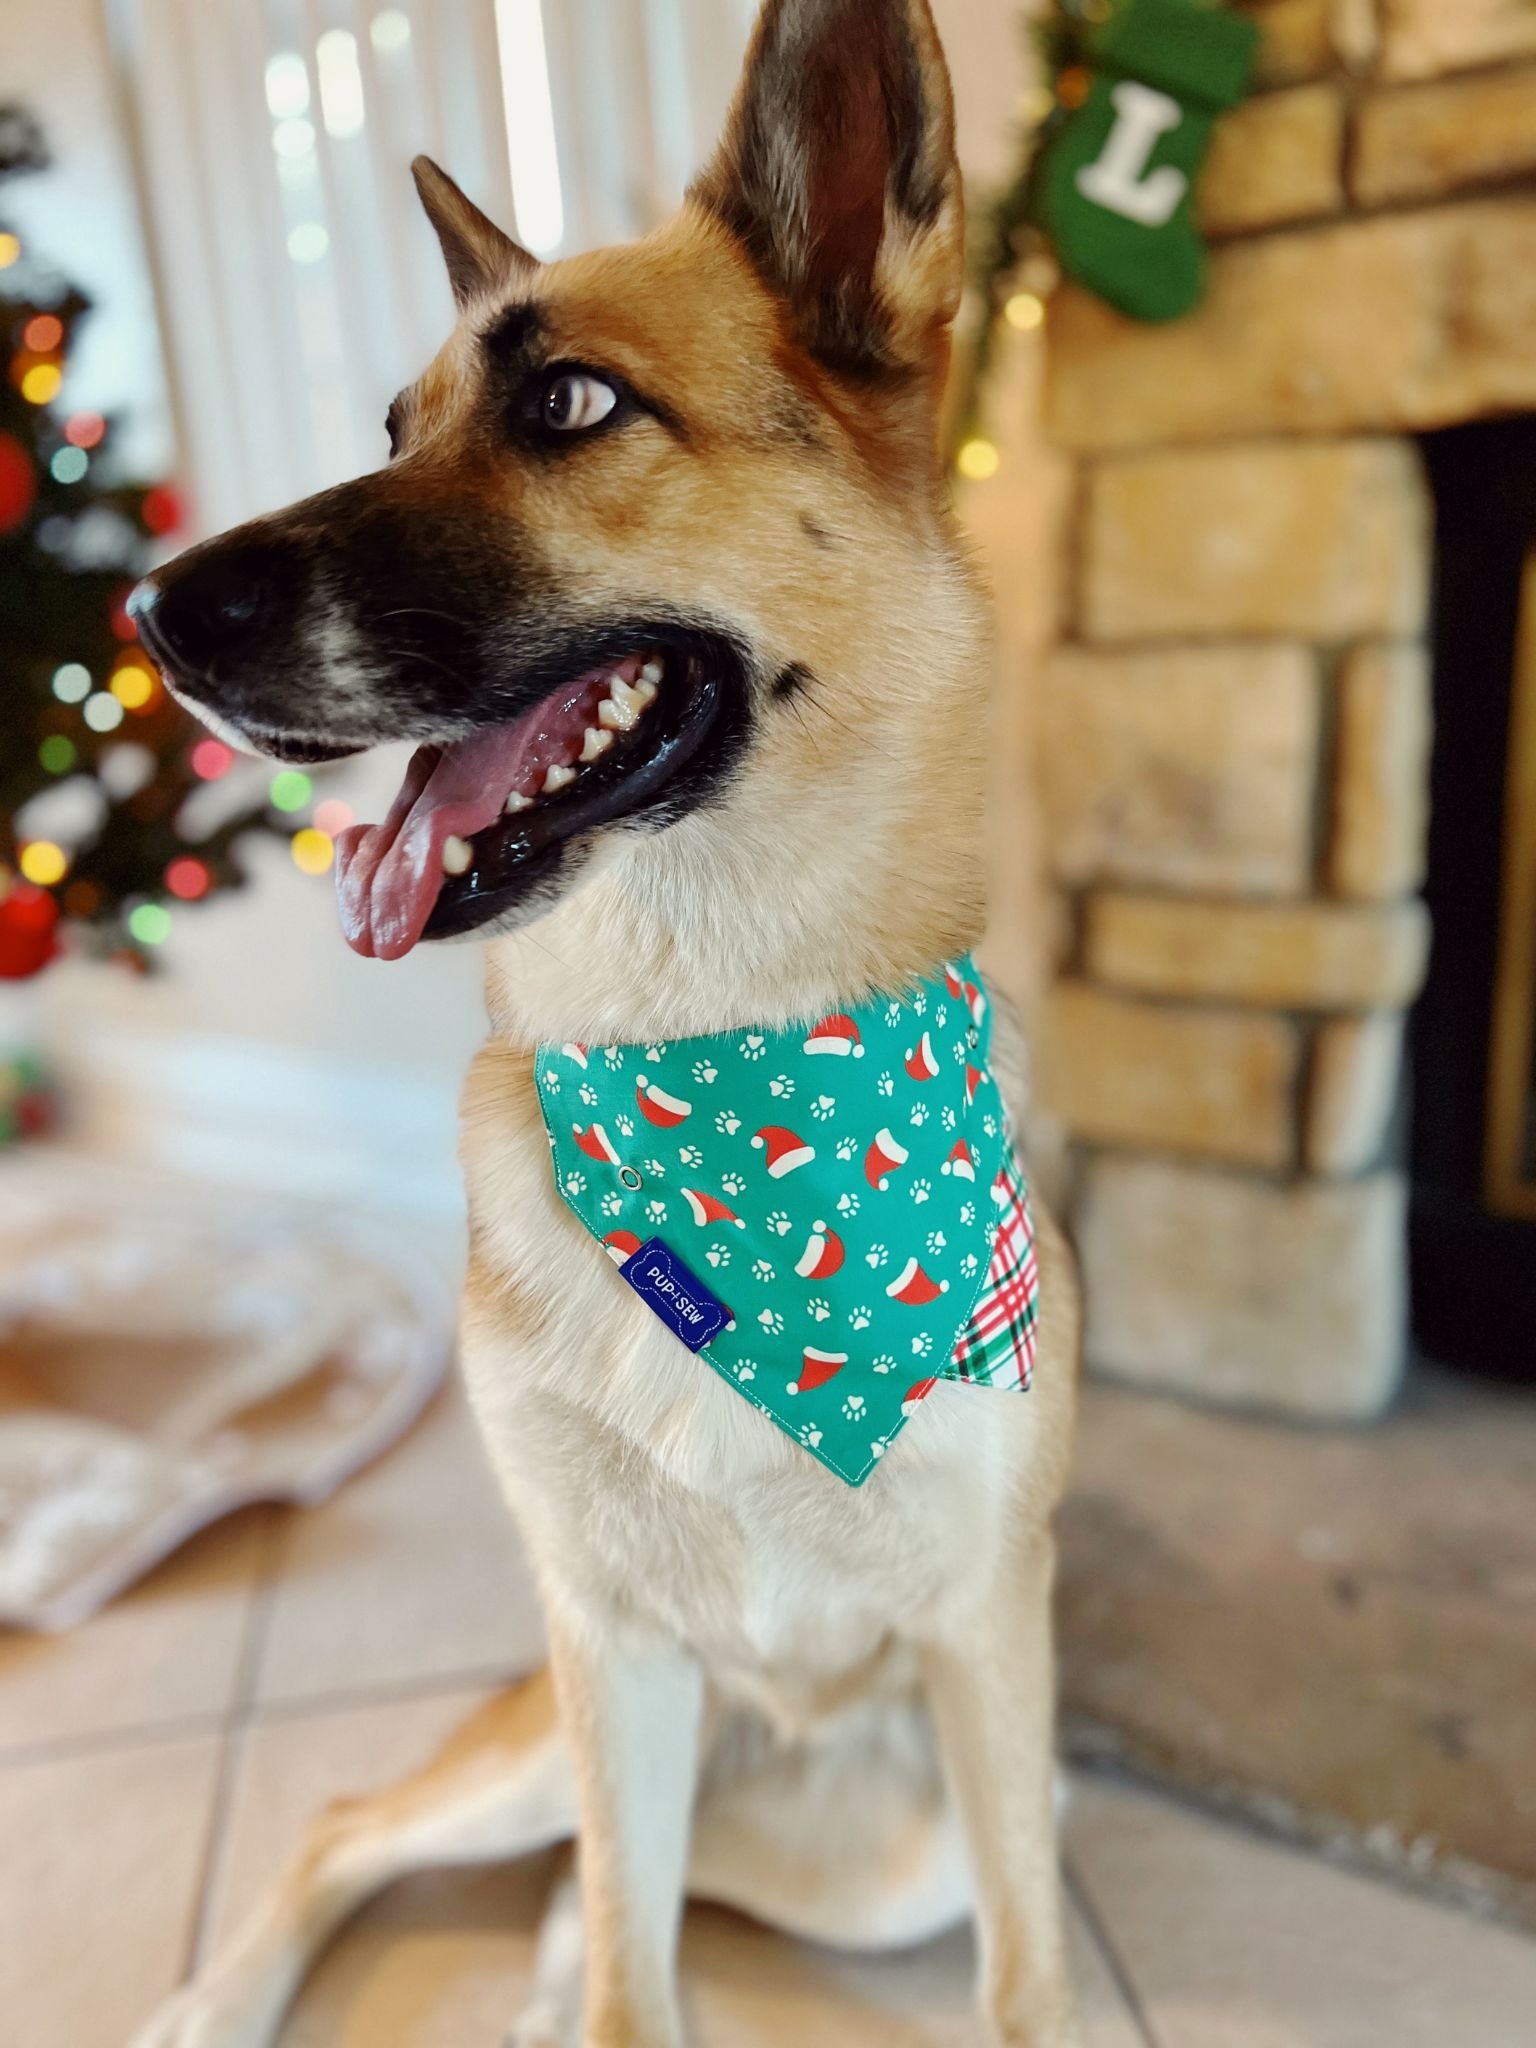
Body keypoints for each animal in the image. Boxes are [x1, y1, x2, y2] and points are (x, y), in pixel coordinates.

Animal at [135, 4, 1097, 2048]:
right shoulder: (611, 1643)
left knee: (572, 1917)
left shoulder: (987, 1643)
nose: (146, 608)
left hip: (882, 1849)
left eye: (570, 405)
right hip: (563, 1732)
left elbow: (1020, 1981)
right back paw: (216, 2004)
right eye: (393, 430)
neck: (730, 1056)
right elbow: (622, 1982)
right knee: (383, 1830)